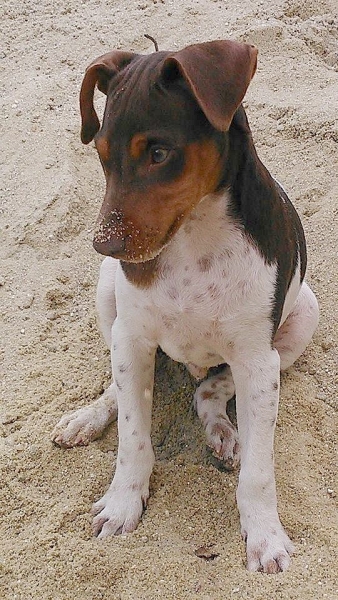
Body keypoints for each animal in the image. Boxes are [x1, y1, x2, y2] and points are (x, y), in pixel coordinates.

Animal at [51, 39, 318, 576]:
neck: (194, 239)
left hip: (303, 318)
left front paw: (265, 536)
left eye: (159, 154)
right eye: (102, 156)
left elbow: (259, 470)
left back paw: (221, 430)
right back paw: (87, 417)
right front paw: (122, 504)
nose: (103, 245)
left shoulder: (258, 361)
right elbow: (133, 437)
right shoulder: (132, 337)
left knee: (210, 390)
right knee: (117, 386)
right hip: (109, 297)